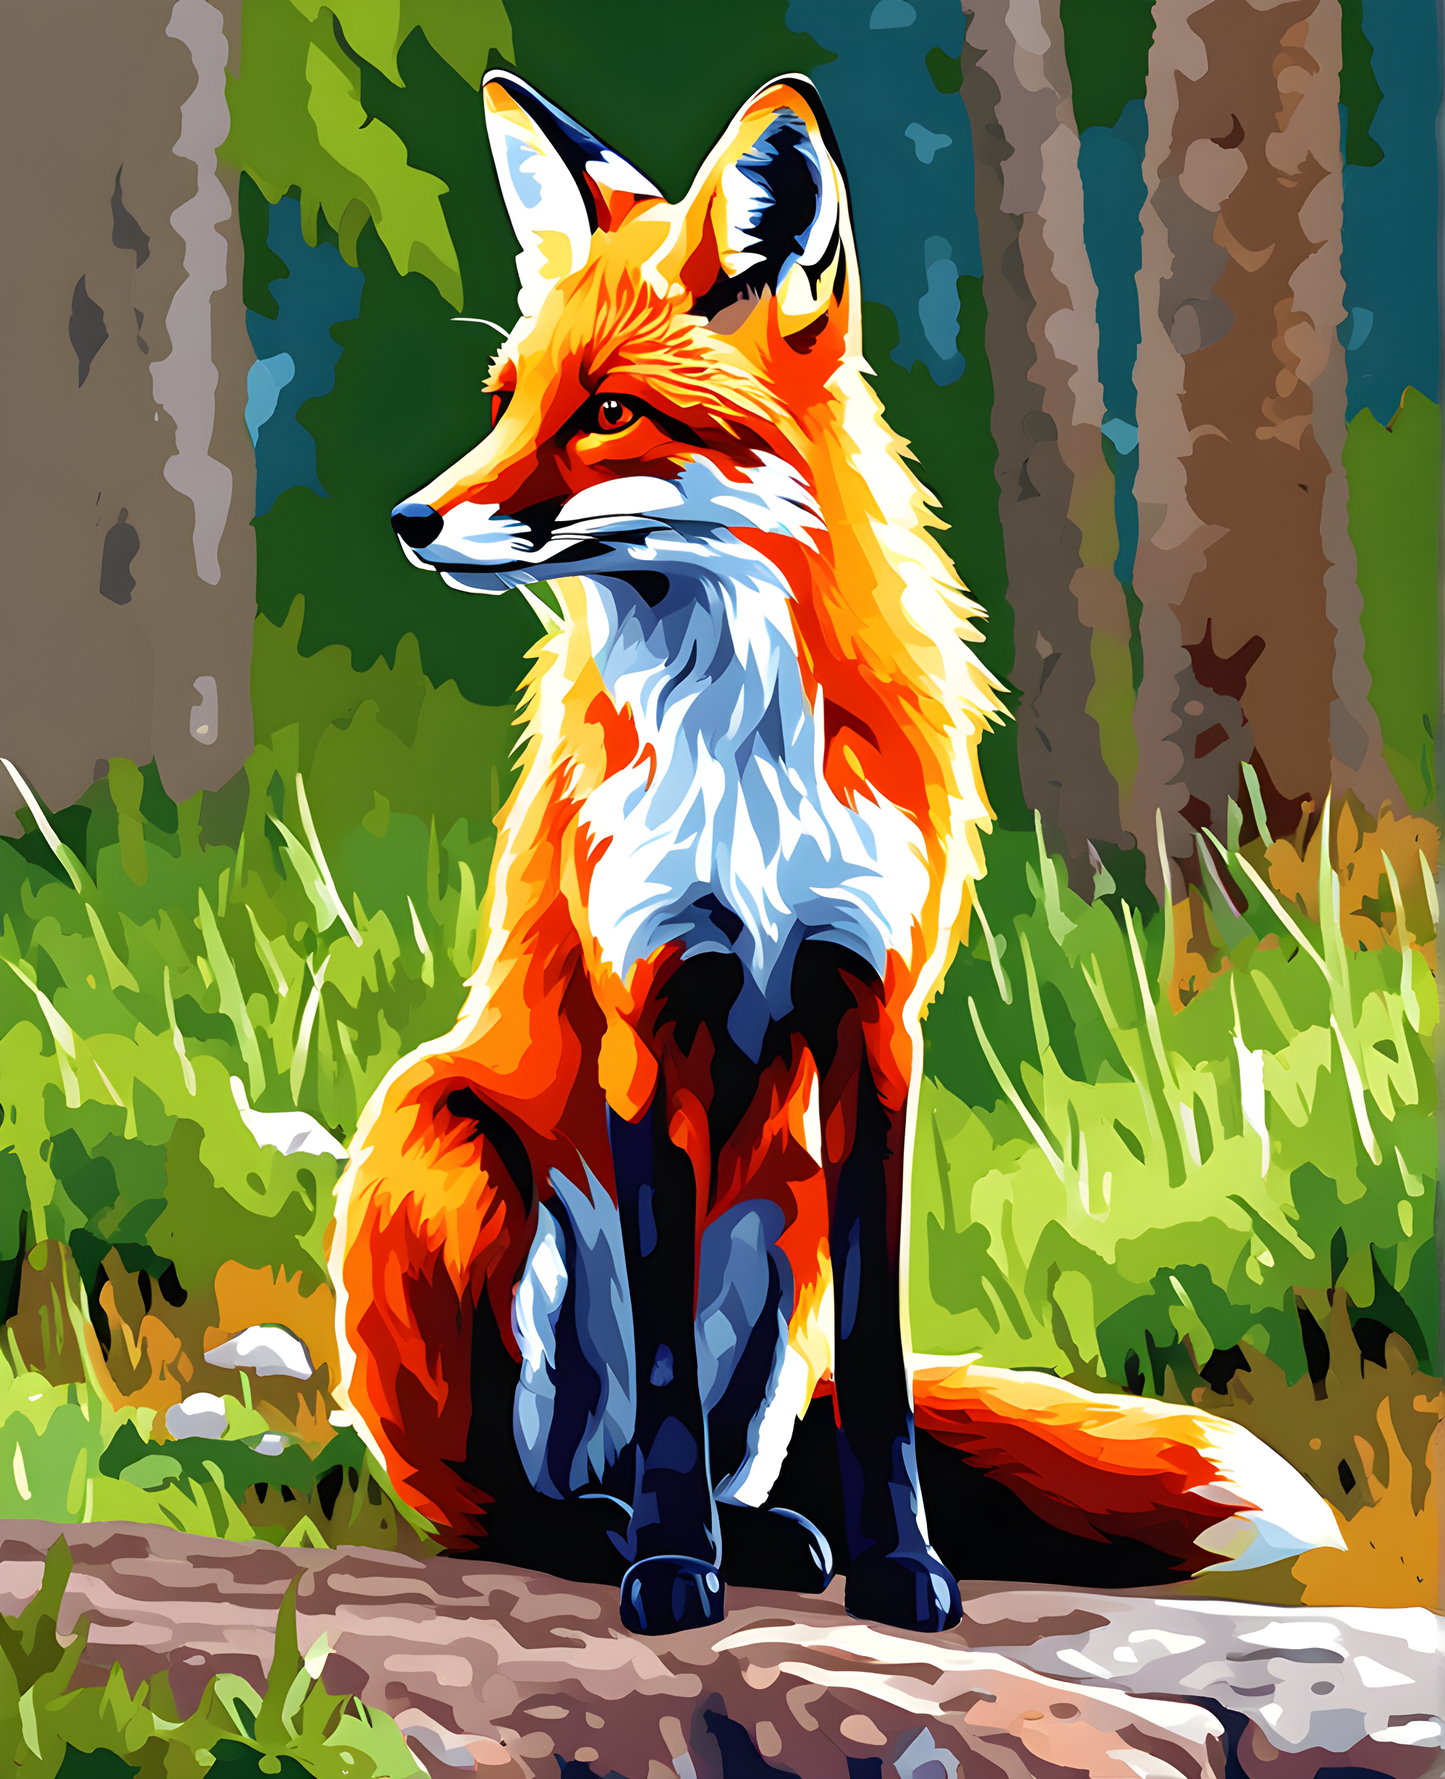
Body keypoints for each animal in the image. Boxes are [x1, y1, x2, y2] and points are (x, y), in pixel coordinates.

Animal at [331, 71, 1344, 1637]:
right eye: (503, 405)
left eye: (608, 412)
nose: (409, 521)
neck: (743, 749)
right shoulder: (648, 1012)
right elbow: (664, 1375)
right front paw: (666, 1570)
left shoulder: (873, 1024)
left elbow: (877, 1367)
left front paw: (901, 1565)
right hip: (445, 1150)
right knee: (504, 1503)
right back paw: (612, 1533)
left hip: (782, 1223)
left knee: (740, 1449)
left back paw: (775, 1538)